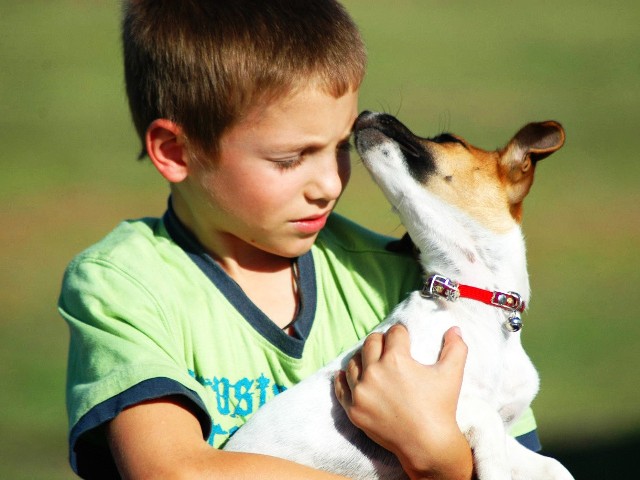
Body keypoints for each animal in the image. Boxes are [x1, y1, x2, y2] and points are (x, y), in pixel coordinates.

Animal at [222, 112, 572, 480]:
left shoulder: (506, 434)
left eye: (448, 139)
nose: (365, 114)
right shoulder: (438, 403)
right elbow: (488, 424)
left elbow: (553, 465)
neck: (474, 303)